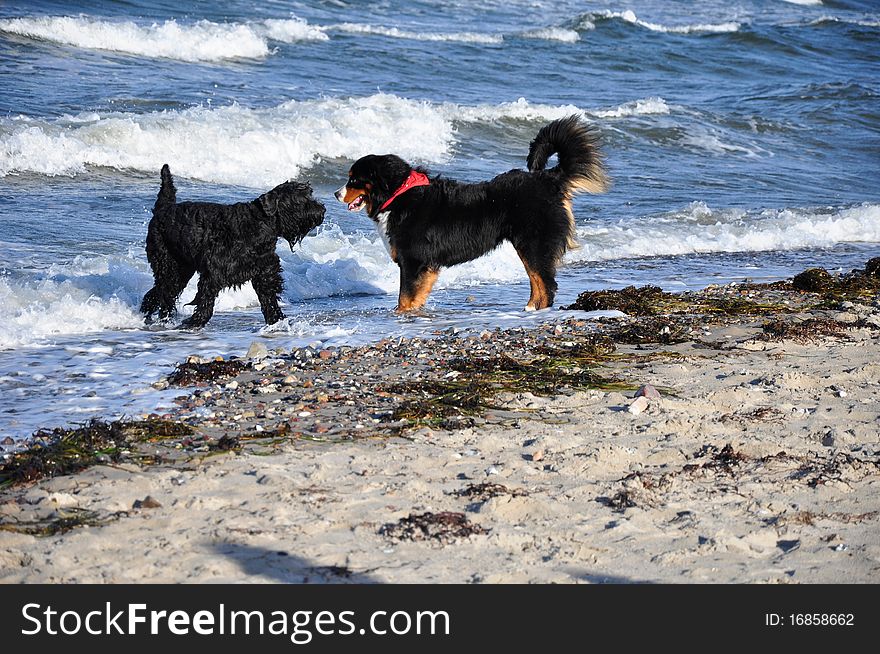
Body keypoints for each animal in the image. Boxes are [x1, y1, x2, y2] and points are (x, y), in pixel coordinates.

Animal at [139, 164, 324, 328]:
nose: (321, 210)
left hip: (182, 270)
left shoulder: (265, 275)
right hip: (169, 267)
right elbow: (205, 300)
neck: (259, 223)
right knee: (164, 293)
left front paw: (277, 320)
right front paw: (195, 322)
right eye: (299, 200)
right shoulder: (213, 274)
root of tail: (163, 209)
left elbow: (269, 301)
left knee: (157, 293)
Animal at [334, 115, 608, 312]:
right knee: (539, 282)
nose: (336, 193)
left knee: (546, 284)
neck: (398, 194)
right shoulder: (425, 266)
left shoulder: (413, 261)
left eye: (354, 179)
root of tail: (549, 178)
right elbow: (414, 297)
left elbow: (405, 297)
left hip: (533, 244)